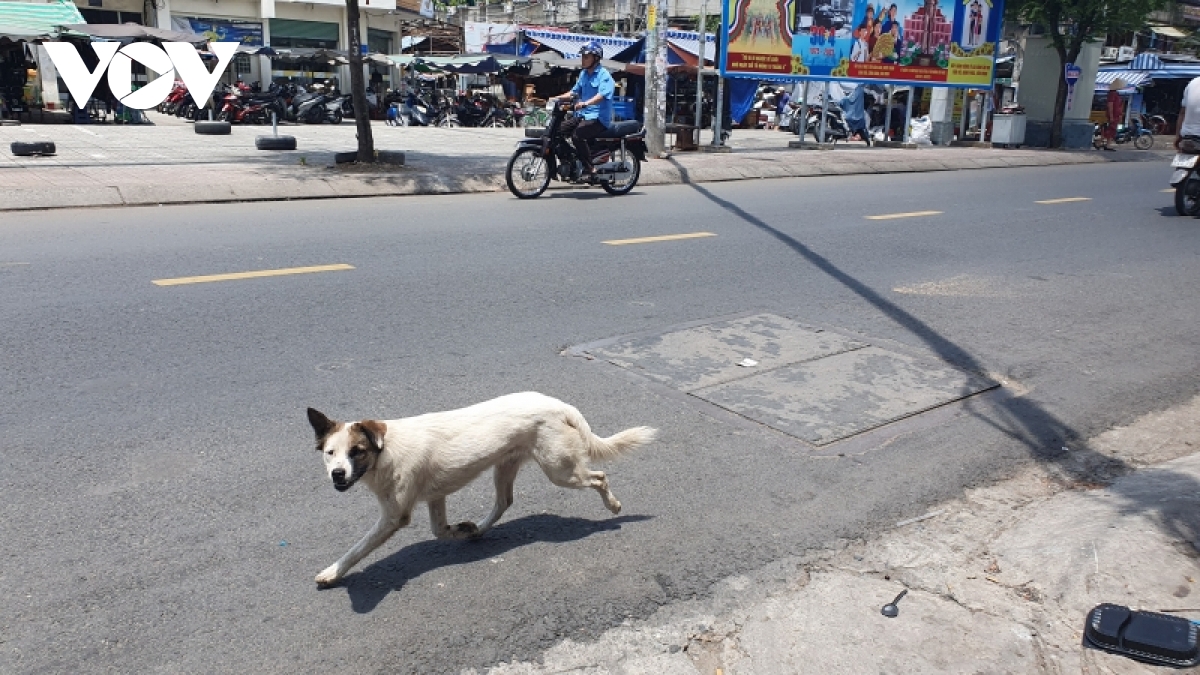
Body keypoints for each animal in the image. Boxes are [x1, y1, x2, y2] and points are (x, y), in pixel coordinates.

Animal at [304, 389, 652, 583]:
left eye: (356, 451)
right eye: (330, 453)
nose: (337, 474)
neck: (383, 449)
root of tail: (559, 404)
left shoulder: (394, 516)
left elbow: (358, 549)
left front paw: (333, 572)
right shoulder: (436, 497)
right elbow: (440, 530)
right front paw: (462, 529)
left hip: (561, 471)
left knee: (599, 477)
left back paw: (613, 507)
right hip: (505, 466)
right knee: (504, 502)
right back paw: (479, 529)